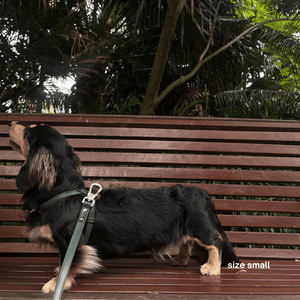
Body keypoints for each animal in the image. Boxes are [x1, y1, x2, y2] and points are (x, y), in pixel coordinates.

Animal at [8, 121, 239, 292]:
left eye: (28, 132)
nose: (11, 122)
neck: (63, 192)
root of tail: (202, 192)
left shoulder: (69, 240)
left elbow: (68, 262)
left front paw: (57, 284)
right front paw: (58, 273)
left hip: (200, 227)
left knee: (214, 243)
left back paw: (211, 267)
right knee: (186, 241)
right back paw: (181, 260)